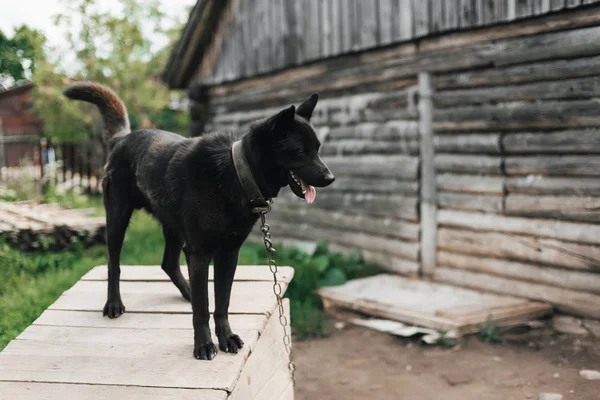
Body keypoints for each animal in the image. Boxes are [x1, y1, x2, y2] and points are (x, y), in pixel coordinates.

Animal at [63, 81, 336, 360]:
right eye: (300, 150)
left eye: (317, 148)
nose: (330, 178)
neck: (235, 172)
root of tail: (123, 138)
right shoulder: (200, 253)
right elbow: (203, 308)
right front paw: (204, 345)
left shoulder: (228, 254)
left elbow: (221, 303)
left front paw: (226, 338)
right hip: (118, 220)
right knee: (114, 264)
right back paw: (114, 304)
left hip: (173, 228)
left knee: (168, 263)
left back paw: (187, 291)